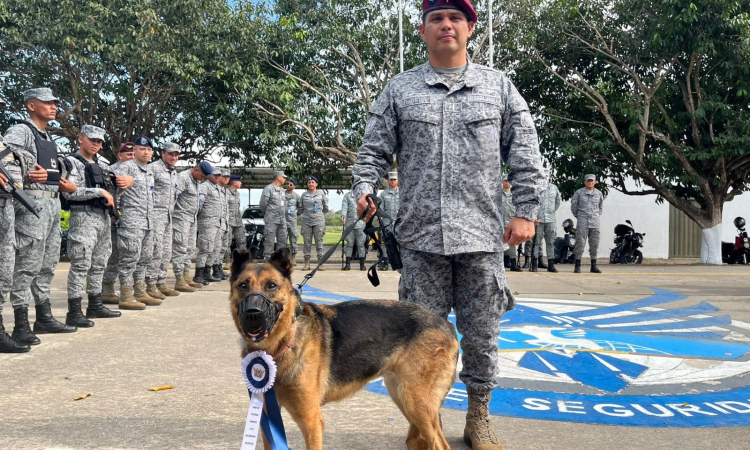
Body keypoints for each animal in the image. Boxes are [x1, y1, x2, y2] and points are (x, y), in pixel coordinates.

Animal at [232, 250, 462, 450]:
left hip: (416, 403)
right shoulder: (267, 416)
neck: (281, 345)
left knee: (441, 445)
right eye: (243, 286)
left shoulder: (311, 421)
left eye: (271, 286)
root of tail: (446, 324)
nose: (253, 313)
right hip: (402, 397)